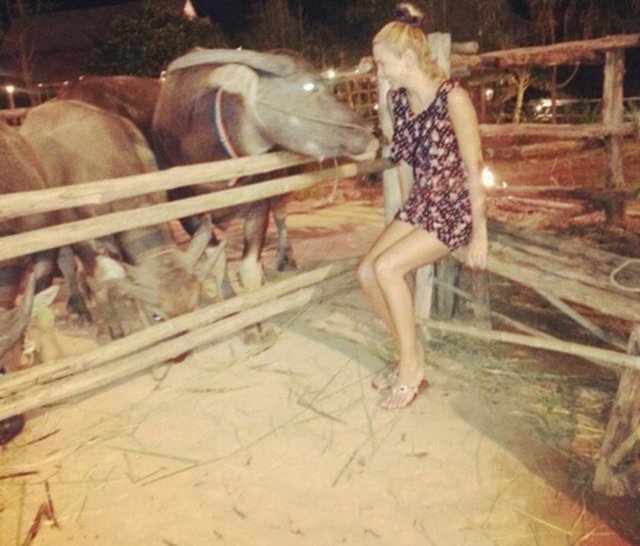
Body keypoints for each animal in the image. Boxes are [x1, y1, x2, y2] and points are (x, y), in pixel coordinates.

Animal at [19, 100, 222, 342]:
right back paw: (79, 306)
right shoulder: (84, 239)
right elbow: (99, 280)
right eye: (156, 316)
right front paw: (112, 328)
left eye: (196, 304)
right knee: (66, 262)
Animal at [152, 48, 375, 340]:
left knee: (281, 216)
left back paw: (284, 257)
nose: (369, 134)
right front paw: (233, 308)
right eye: (310, 86)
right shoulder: (190, 217)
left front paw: (258, 323)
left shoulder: (258, 207)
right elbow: (218, 261)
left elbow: (248, 268)